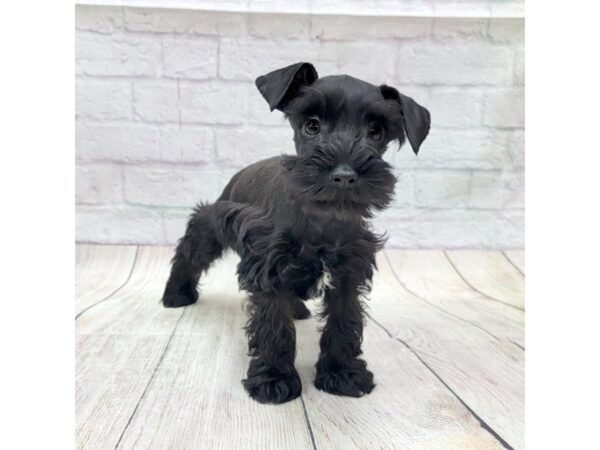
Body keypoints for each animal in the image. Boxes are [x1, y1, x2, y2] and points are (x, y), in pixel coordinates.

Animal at [161, 62, 432, 404]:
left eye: (376, 130)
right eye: (311, 125)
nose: (345, 175)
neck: (321, 218)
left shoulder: (348, 271)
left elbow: (344, 322)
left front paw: (342, 373)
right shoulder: (268, 266)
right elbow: (274, 325)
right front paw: (274, 379)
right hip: (212, 223)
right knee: (190, 250)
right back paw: (176, 294)